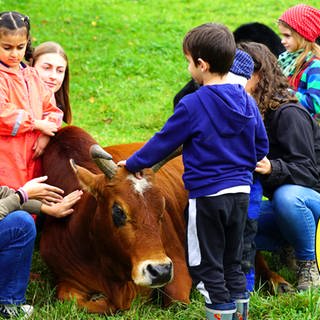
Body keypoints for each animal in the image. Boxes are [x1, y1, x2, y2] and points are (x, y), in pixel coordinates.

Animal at [38, 126, 191, 314]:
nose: (160, 271)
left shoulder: (176, 263)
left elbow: (178, 303)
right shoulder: (68, 279)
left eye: (161, 207)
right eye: (118, 211)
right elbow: (76, 301)